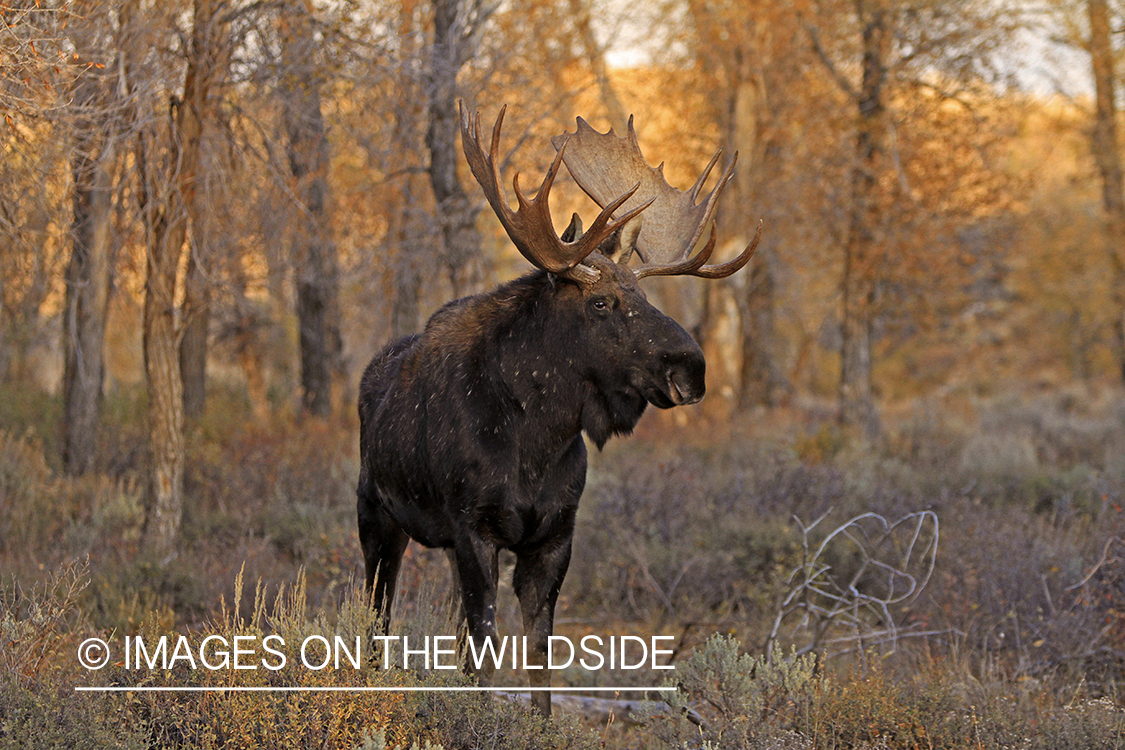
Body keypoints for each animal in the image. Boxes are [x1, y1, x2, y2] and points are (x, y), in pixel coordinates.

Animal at [357, 102, 760, 716]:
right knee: (377, 617)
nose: (692, 369)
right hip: (376, 515)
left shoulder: (553, 534)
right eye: (601, 302)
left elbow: (538, 654)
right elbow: (485, 648)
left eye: (645, 298)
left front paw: (539, 722)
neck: (537, 442)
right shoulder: (474, 528)